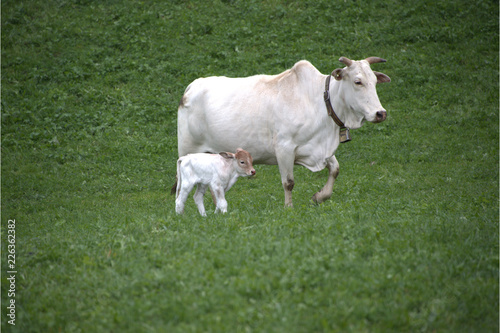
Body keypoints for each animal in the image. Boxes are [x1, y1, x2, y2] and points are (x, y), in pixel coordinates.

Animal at [176, 57, 390, 208]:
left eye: (374, 81)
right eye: (357, 82)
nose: (380, 113)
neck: (319, 101)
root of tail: (191, 87)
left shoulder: (318, 148)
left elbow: (335, 169)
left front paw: (319, 197)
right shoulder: (284, 148)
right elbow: (288, 182)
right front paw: (289, 208)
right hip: (187, 150)